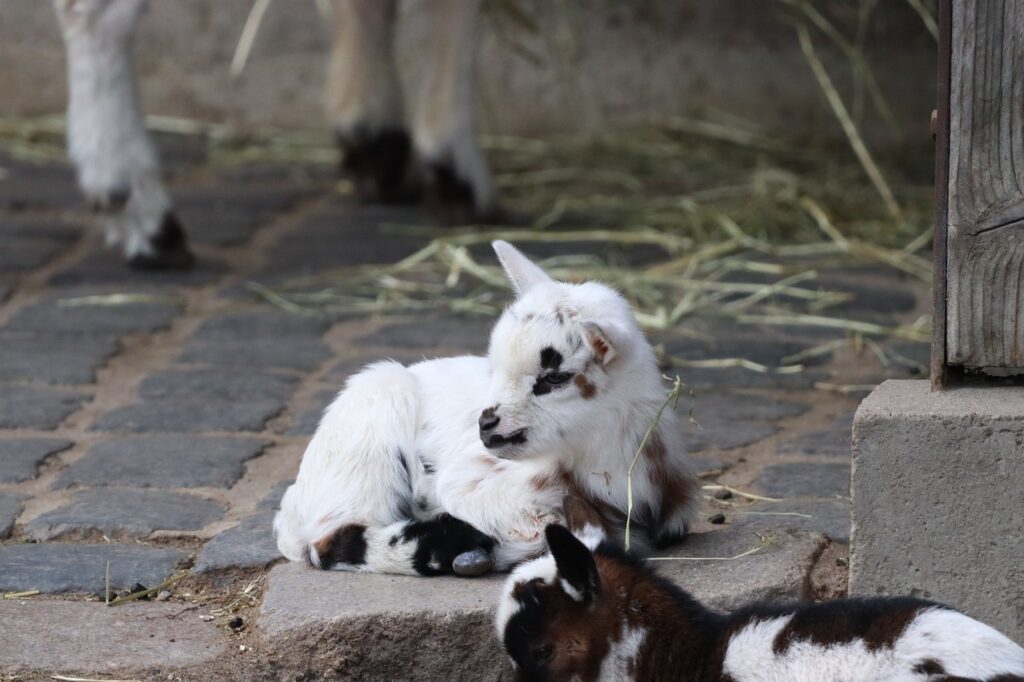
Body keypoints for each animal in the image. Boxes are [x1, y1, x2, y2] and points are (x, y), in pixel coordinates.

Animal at [273, 241, 699, 577]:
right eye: (494, 367)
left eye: (554, 378)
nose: (486, 424)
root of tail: (293, 505)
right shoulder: (472, 483)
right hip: (369, 429)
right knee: (329, 540)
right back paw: (452, 545)